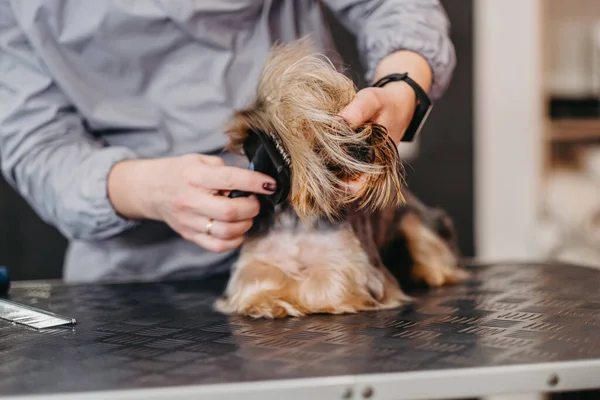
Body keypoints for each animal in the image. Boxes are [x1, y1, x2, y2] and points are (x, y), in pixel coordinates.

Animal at [213, 38, 466, 318]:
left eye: (351, 112)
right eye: (316, 126)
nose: (366, 141)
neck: (299, 217)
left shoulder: (356, 265)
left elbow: (329, 279)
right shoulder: (256, 260)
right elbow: (258, 278)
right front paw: (270, 301)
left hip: (414, 220)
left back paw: (429, 273)